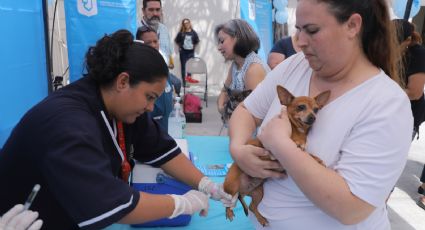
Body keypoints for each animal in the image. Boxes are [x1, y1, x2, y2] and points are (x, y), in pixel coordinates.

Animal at [224, 85, 330, 226]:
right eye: (301, 107)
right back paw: (229, 212)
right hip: (231, 187)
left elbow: (307, 153)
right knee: (227, 203)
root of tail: (242, 191)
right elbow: (307, 153)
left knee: (252, 207)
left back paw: (261, 219)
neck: (298, 130)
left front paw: (317, 159)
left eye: (316, 109)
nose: (313, 117)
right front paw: (316, 159)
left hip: (258, 192)